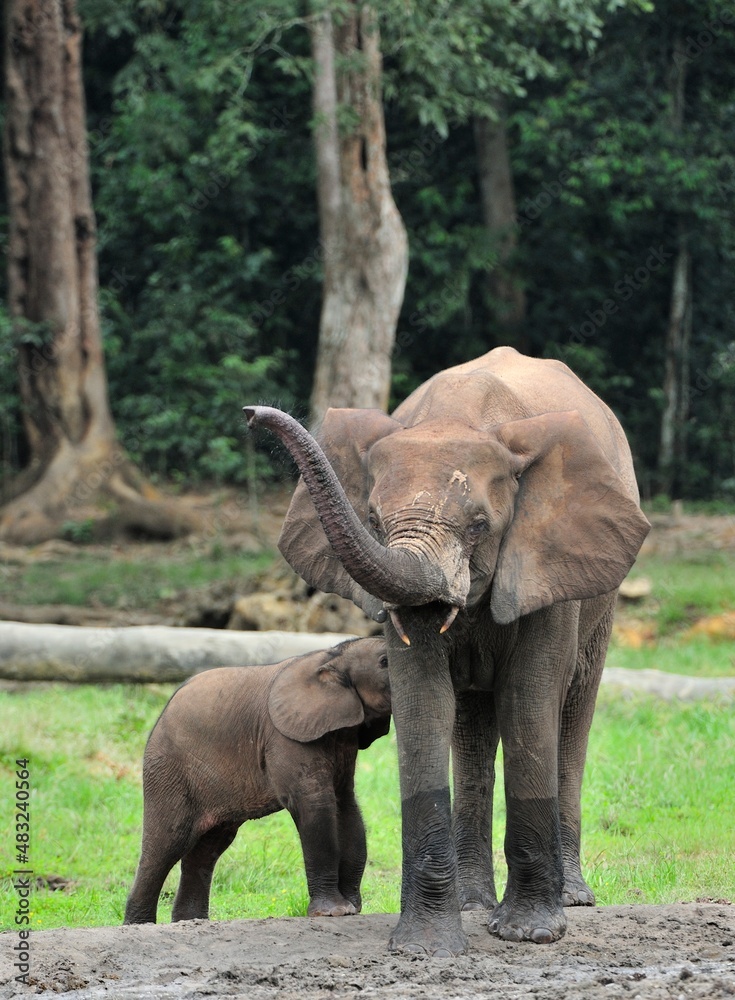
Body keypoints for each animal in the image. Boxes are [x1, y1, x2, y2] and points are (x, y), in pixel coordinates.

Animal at [123, 637, 391, 925]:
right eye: (385, 662)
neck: (333, 656)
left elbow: (346, 806)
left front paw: (352, 908)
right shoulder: (284, 737)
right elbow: (314, 803)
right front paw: (333, 912)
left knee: (206, 850)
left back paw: (191, 922)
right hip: (168, 771)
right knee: (167, 845)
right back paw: (138, 926)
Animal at [244, 346, 650, 956]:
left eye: (480, 526)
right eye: (373, 520)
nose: (250, 413)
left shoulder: (546, 557)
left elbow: (530, 699)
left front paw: (531, 935)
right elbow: (425, 702)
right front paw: (425, 948)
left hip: (599, 594)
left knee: (574, 708)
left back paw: (573, 899)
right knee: (472, 725)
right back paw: (473, 904)